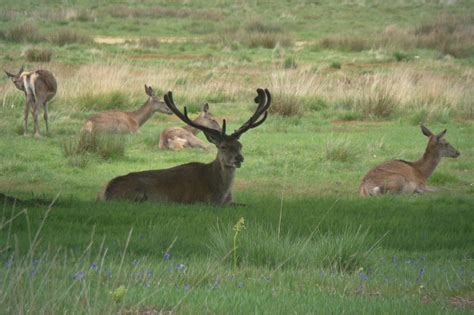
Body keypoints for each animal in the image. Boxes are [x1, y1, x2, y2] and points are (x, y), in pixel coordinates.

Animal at [97, 87, 270, 206]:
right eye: (222, 146)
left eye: (240, 145)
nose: (239, 158)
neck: (219, 193)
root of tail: (106, 191)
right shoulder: (195, 200)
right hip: (137, 194)